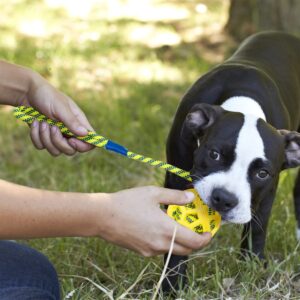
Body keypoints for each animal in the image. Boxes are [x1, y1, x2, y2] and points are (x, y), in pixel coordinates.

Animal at [162, 31, 300, 292]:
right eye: (214, 154)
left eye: (262, 173)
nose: (224, 199)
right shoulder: (176, 179)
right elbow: (175, 233)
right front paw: (172, 283)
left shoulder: (267, 193)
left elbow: (257, 229)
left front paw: (253, 266)